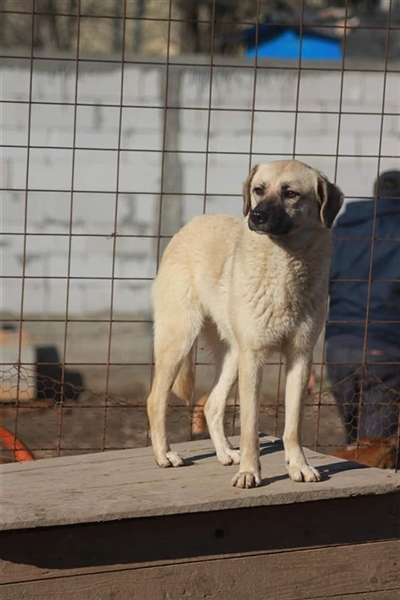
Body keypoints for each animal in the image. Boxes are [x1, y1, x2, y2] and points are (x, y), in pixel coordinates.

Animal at [147, 159, 344, 488]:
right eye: (258, 189)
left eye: (290, 193)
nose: (257, 216)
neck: (284, 264)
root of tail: (191, 223)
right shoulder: (254, 359)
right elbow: (250, 426)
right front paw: (250, 473)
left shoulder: (300, 357)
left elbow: (293, 425)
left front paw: (298, 466)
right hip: (179, 341)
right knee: (155, 400)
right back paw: (165, 455)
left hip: (232, 354)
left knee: (212, 404)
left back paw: (225, 452)